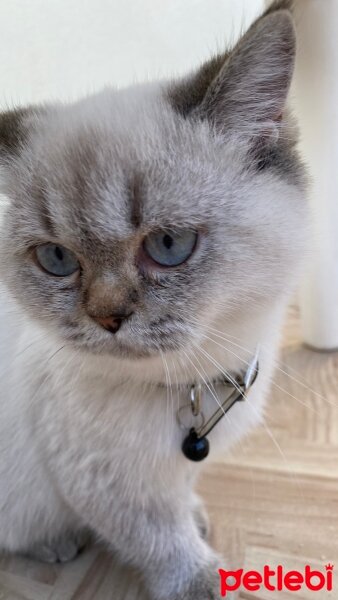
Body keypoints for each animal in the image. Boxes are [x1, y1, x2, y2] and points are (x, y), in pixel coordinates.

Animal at [0, 1, 308, 600]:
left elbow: (181, 500)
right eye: (57, 258)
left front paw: (197, 516)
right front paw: (202, 579)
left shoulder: (172, 469)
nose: (107, 317)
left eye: (168, 245)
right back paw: (54, 545)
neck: (193, 386)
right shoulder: (104, 481)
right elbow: (162, 540)